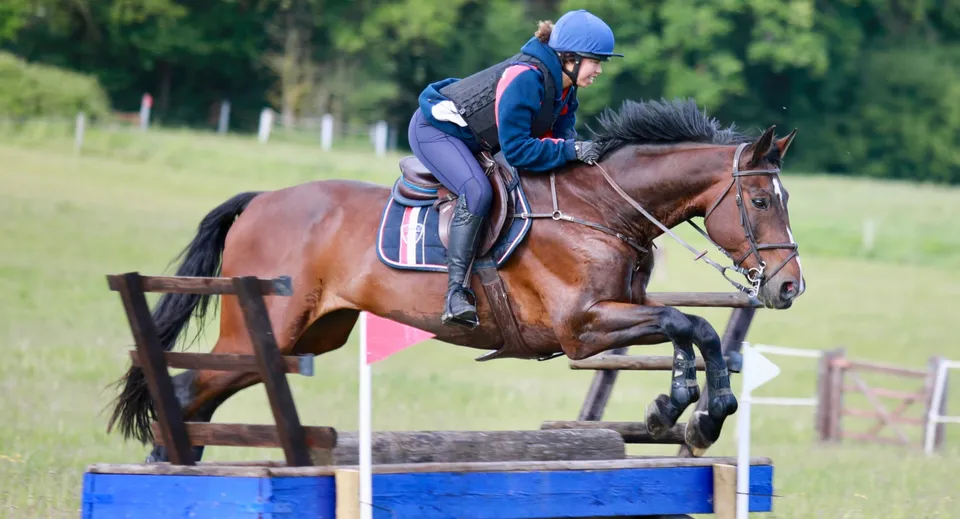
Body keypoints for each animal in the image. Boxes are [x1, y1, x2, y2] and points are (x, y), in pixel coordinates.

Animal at [106, 98, 805, 463]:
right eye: (761, 201)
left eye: (785, 197)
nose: (788, 288)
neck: (602, 208)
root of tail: (260, 201)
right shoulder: (580, 328)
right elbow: (689, 323)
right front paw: (696, 409)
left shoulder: (620, 309)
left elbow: (691, 329)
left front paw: (686, 410)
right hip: (274, 328)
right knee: (191, 382)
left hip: (307, 337)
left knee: (204, 390)